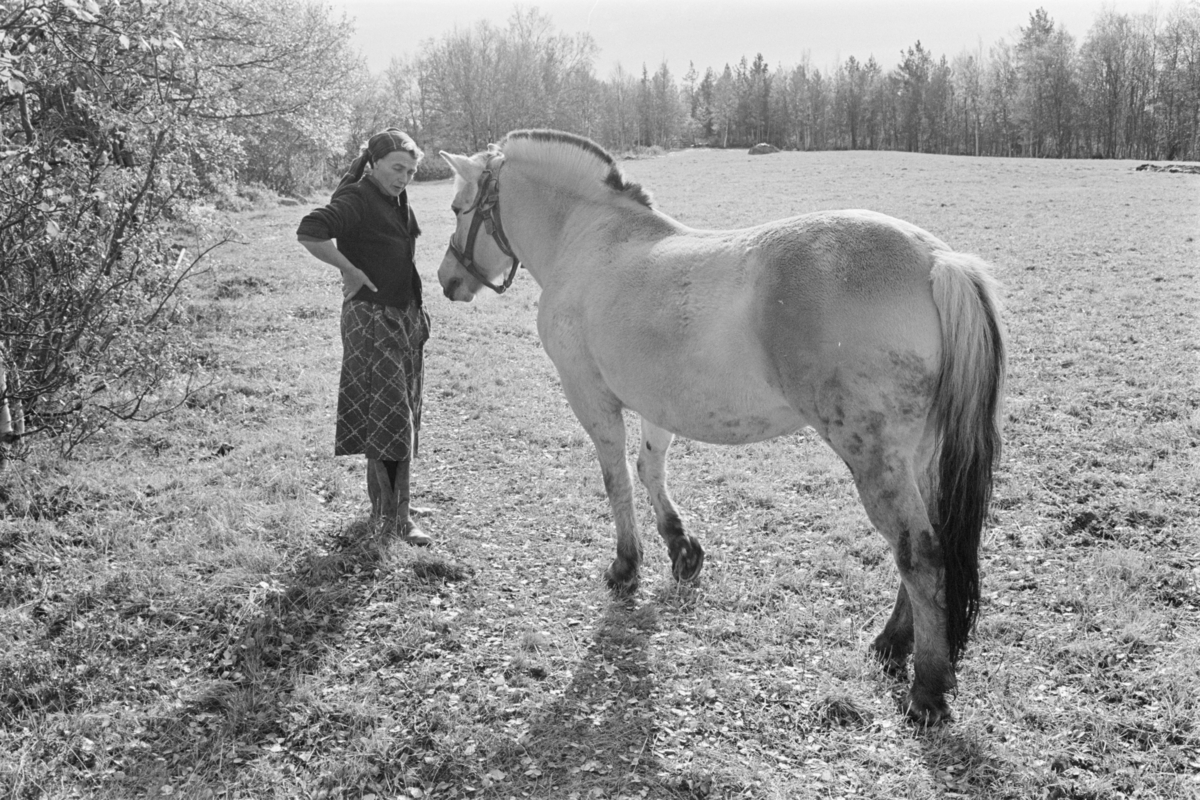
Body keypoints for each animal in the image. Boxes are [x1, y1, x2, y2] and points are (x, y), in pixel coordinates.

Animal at [436, 131, 1008, 724]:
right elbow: (649, 468)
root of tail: (936, 259)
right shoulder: (657, 402)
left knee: (919, 553)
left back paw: (927, 688)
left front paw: (626, 566)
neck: (593, 240)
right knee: (928, 542)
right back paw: (891, 644)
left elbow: (617, 479)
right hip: (917, 458)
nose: (447, 279)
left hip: (875, 459)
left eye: (457, 209)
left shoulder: (590, 396)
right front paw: (682, 549)